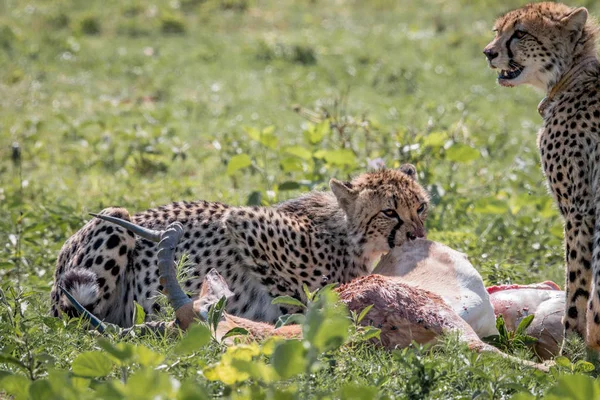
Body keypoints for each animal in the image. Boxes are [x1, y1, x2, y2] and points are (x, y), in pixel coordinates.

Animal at [49, 166, 428, 328]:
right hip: (114, 219)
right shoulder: (244, 220)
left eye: (421, 206)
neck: (349, 235)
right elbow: (291, 294)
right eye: (389, 212)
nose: (418, 235)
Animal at [480, 2, 600, 346]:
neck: (571, 76)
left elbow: (577, 286)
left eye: (520, 33)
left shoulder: (580, 210)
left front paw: (570, 349)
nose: (488, 52)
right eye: (498, 31)